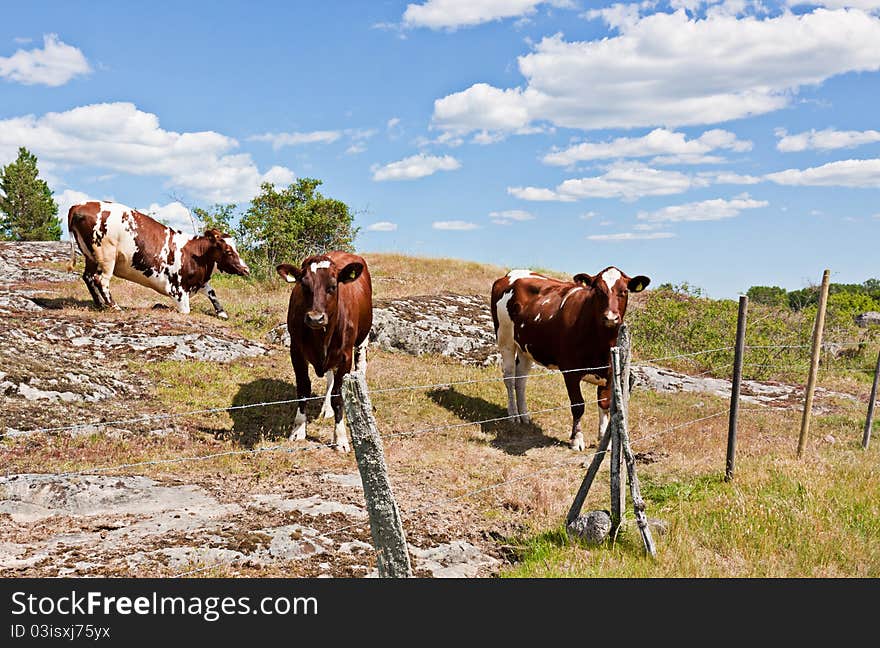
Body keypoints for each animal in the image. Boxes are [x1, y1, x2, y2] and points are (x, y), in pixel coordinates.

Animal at [66, 200, 248, 316]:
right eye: (228, 251)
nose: (246, 269)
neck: (195, 255)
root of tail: (80, 205)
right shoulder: (178, 290)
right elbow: (186, 310)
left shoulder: (199, 282)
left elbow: (212, 292)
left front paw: (222, 312)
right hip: (106, 255)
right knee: (100, 280)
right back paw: (115, 307)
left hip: (90, 255)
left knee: (88, 277)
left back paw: (99, 305)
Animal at [276, 251, 372, 454]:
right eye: (304, 285)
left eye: (333, 286)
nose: (315, 318)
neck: (321, 337)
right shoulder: (296, 352)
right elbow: (303, 389)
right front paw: (298, 430)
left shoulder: (345, 357)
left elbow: (338, 397)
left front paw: (341, 438)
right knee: (329, 378)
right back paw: (326, 409)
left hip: (363, 339)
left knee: (361, 366)